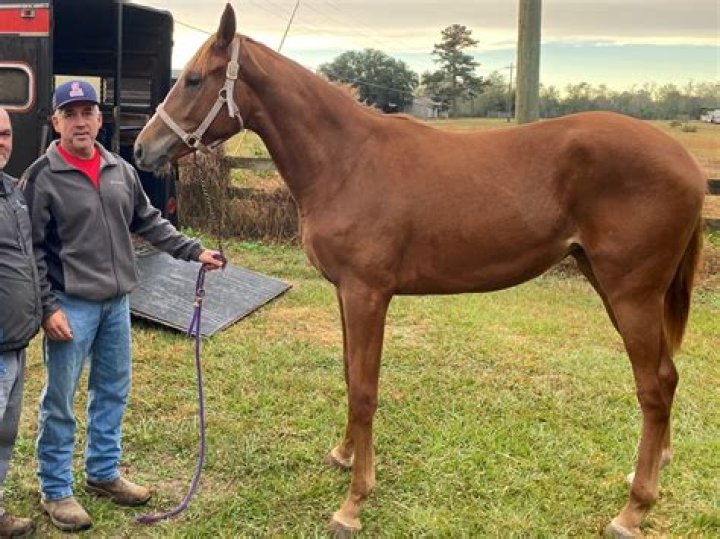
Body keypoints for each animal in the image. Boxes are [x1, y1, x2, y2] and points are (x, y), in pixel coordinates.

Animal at [133, 4, 706, 536]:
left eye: (193, 78)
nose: (142, 148)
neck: (347, 161)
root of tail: (688, 165)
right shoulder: (345, 293)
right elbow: (349, 376)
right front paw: (344, 456)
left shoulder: (368, 294)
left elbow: (365, 390)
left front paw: (354, 502)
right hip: (610, 285)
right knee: (668, 377)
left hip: (631, 294)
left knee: (654, 387)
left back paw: (632, 510)